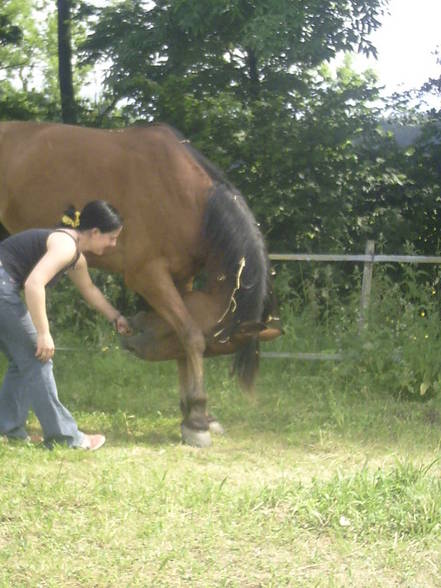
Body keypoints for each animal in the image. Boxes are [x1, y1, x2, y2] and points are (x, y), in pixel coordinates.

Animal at [0, 123, 280, 446]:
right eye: (213, 345)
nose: (130, 337)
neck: (187, 198)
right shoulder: (148, 275)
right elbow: (191, 336)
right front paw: (198, 419)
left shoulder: (182, 280)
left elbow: (183, 337)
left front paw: (192, 417)